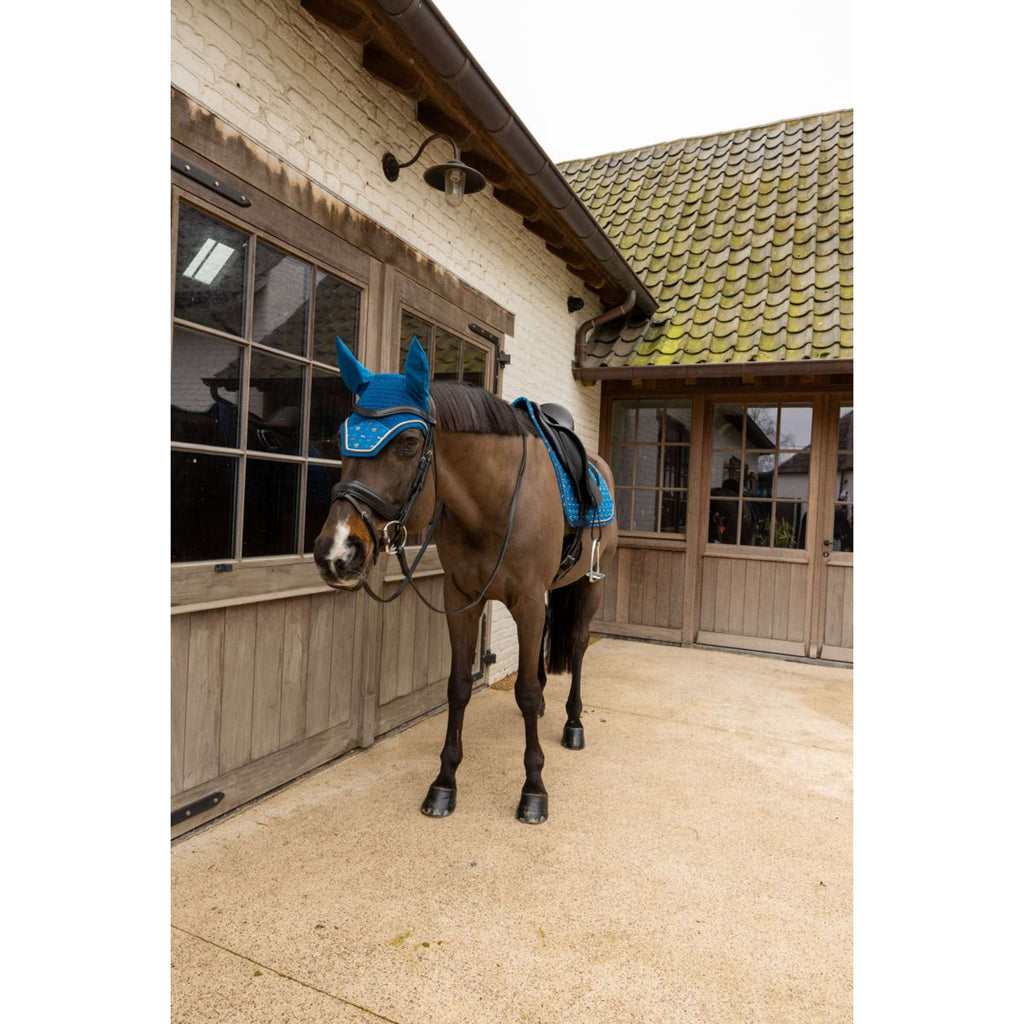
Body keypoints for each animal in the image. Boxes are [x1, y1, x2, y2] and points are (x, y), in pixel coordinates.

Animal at [312, 337, 618, 824]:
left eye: (410, 442)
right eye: (342, 437)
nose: (336, 551)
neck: (495, 500)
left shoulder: (527, 601)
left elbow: (525, 690)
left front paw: (534, 789)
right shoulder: (461, 598)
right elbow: (458, 687)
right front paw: (444, 782)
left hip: (591, 584)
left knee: (578, 645)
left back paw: (573, 723)